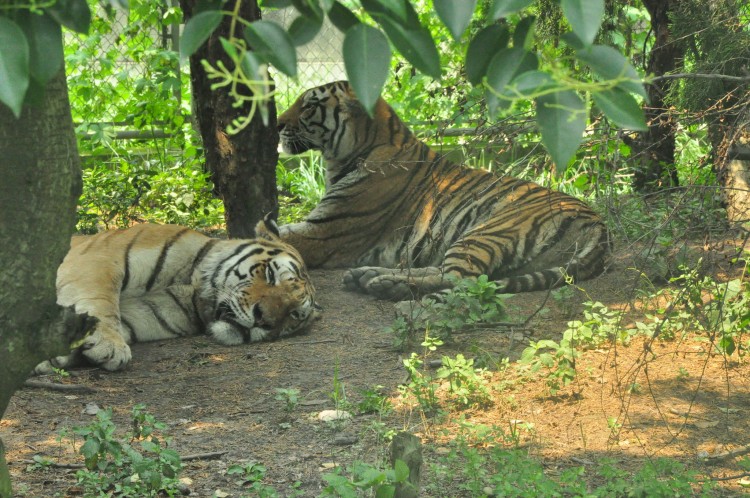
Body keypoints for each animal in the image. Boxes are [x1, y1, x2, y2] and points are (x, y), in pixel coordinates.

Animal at [34, 216, 318, 376]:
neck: (192, 289)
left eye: (293, 314)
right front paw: (110, 345)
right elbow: (100, 300)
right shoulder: (98, 259)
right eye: (270, 274)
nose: (263, 320)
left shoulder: (146, 312)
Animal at [280, 80, 612, 302]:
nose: (278, 123)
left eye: (308, 105)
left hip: (486, 232)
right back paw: (371, 277)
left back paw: (388, 285)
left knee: (461, 279)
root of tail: (599, 224)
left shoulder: (322, 233)